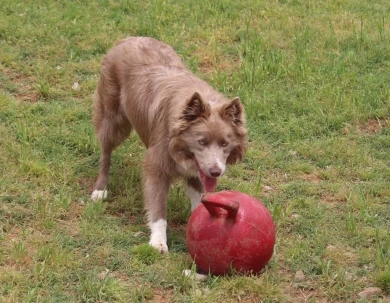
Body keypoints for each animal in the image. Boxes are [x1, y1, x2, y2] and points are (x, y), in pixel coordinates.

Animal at [90, 36, 247, 253]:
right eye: (202, 141)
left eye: (224, 143)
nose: (216, 172)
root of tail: (129, 38)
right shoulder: (157, 166)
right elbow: (158, 208)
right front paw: (158, 242)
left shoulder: (196, 172)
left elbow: (199, 198)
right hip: (113, 120)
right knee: (105, 153)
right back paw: (100, 189)